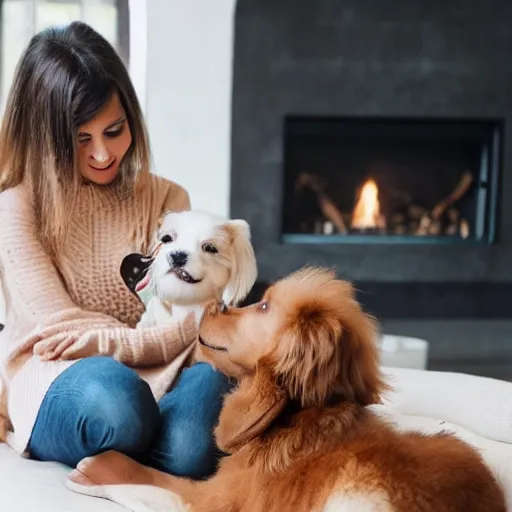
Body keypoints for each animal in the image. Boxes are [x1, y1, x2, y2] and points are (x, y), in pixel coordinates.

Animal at [70, 266, 506, 510]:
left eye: (263, 306)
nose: (211, 305)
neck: (293, 418)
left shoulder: (219, 499)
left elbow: (159, 480)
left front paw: (101, 469)